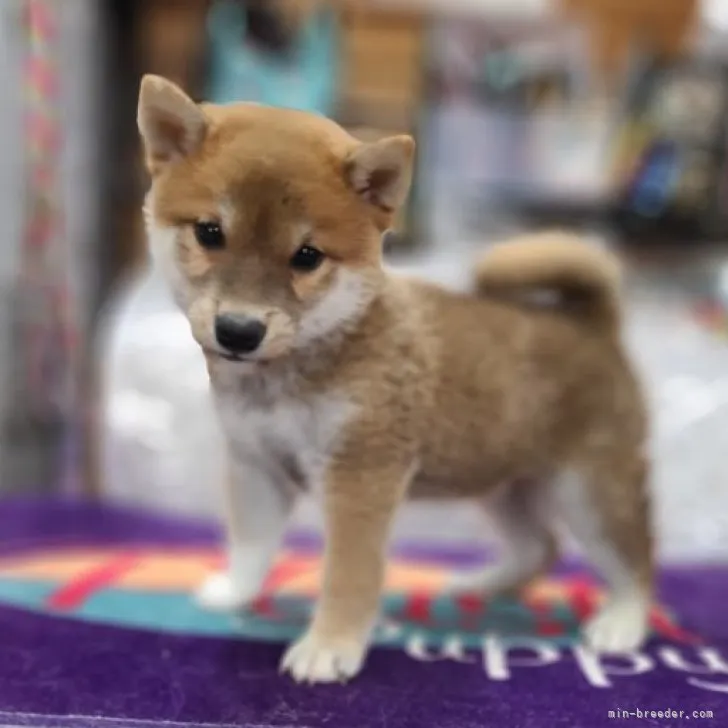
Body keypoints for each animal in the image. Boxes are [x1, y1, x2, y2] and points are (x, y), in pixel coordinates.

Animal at [138, 77, 656, 684]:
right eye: (210, 232)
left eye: (307, 256)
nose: (239, 331)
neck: (299, 367)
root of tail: (595, 328)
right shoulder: (256, 465)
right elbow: (251, 542)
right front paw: (235, 592)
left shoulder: (360, 475)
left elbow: (349, 574)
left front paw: (329, 646)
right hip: (505, 482)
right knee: (541, 547)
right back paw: (480, 584)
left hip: (590, 491)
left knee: (636, 560)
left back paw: (622, 621)